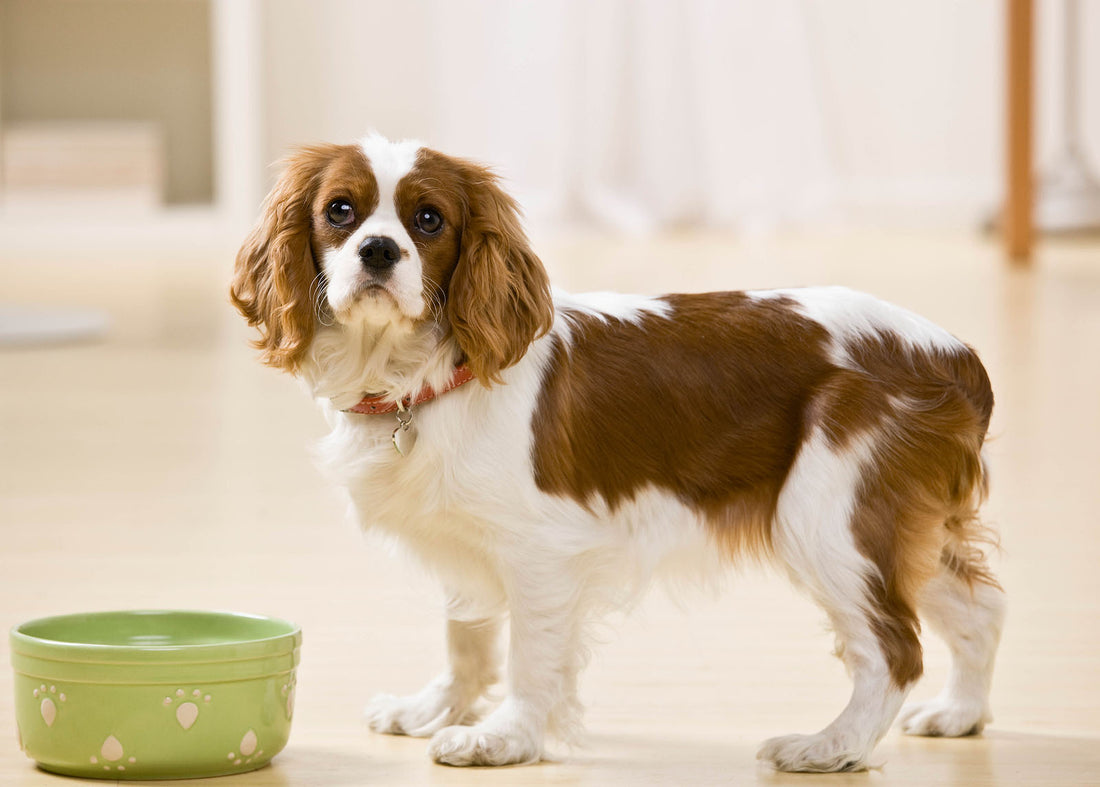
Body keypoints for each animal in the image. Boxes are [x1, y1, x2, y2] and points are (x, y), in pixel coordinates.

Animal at [232, 132, 1007, 774]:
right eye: (340, 210)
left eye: (428, 221)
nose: (378, 251)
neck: (421, 376)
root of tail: (954, 354)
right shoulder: (467, 538)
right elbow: (467, 634)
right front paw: (435, 708)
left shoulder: (539, 551)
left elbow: (529, 655)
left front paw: (504, 738)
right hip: (898, 526)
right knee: (981, 609)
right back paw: (960, 714)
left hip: (826, 520)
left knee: (894, 648)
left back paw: (830, 746)